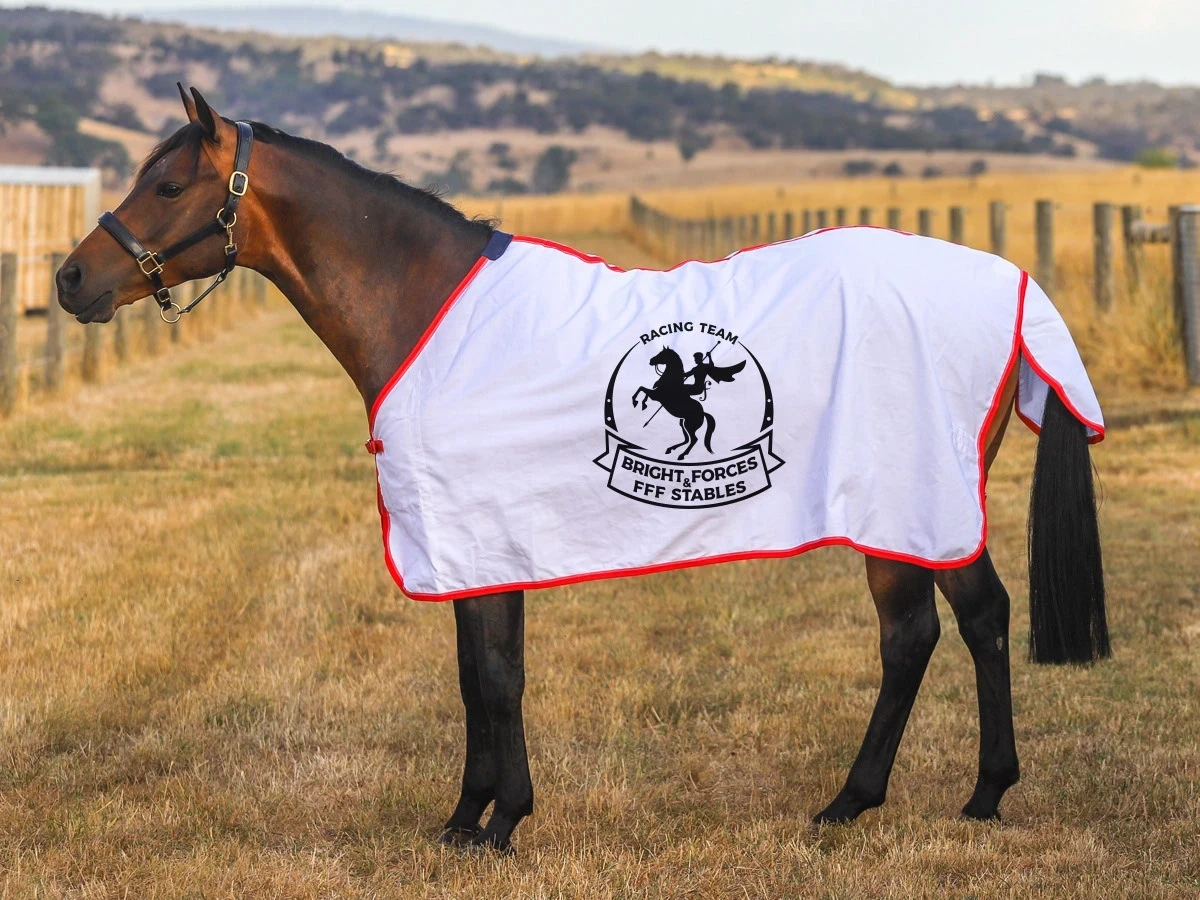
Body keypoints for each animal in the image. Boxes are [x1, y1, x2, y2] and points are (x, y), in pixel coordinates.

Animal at [55, 86, 1110, 854]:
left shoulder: (480, 533)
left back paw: (960, 797)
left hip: (915, 498)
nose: (70, 280)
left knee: (962, 623)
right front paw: (463, 820)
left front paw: (501, 824)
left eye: (167, 187)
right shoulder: (472, 544)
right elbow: (477, 676)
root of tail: (1011, 283)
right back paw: (878, 801)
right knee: (928, 633)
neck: (426, 306)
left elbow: (493, 678)